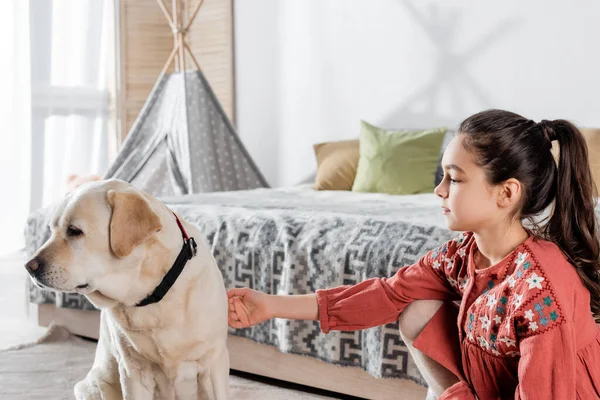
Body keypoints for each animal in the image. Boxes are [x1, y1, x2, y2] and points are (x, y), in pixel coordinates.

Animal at [25, 180, 230, 398]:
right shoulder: (134, 371)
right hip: (91, 388)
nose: (29, 266)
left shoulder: (214, 362)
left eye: (74, 231)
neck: (153, 294)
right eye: (51, 230)